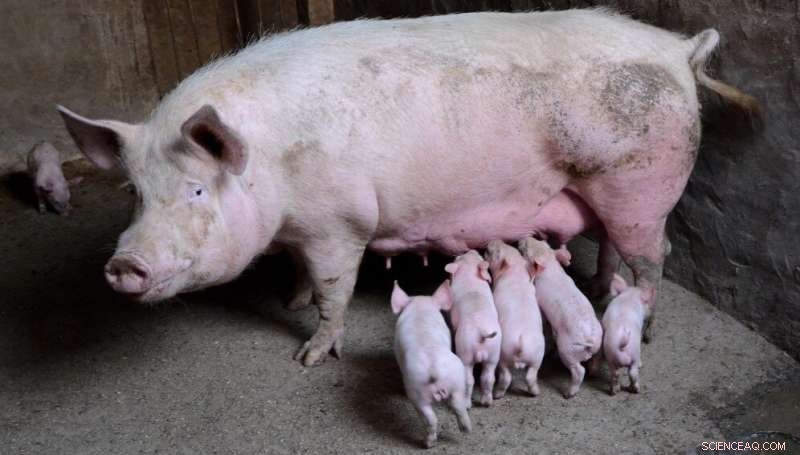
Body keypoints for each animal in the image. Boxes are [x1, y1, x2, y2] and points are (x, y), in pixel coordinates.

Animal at [58, 9, 759, 366]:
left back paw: (644, 325)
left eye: (197, 192)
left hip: (641, 182)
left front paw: (310, 354)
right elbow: (301, 275)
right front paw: (288, 298)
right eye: (134, 192)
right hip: (611, 194)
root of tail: (679, 49)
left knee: (656, 256)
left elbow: (334, 291)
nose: (123, 264)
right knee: (617, 248)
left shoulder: (339, 224)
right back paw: (600, 288)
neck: (271, 171)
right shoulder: (301, 230)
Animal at [392, 281, 472, 448]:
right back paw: (466, 429)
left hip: (416, 392)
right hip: (456, 381)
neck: (420, 307)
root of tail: (434, 369)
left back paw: (427, 444)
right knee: (458, 406)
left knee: (430, 419)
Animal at [445, 250, 501, 406]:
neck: (470, 273)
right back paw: (487, 403)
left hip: (466, 352)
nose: (471, 250)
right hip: (494, 353)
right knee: (488, 377)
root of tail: (482, 333)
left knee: (469, 379)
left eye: (457, 258)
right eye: (479, 257)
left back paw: (468, 404)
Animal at [483, 240, 545, 398]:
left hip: (504, 354)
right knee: (531, 376)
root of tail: (521, 343)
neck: (516, 272)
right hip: (537, 355)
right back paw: (536, 393)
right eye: (514, 249)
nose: (494, 240)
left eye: (497, 252)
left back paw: (497, 395)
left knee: (506, 377)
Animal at [518, 237, 602, 398]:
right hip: (597, 344)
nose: (523, 238)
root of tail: (589, 339)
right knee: (595, 358)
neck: (550, 265)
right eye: (542, 242)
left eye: (526, 249)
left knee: (579, 370)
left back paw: (568, 394)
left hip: (567, 349)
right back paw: (594, 373)